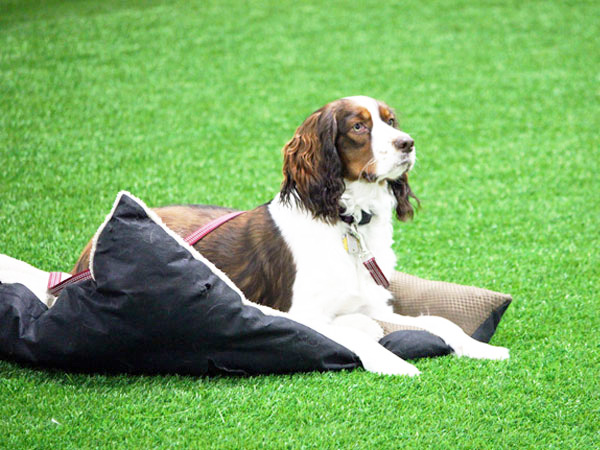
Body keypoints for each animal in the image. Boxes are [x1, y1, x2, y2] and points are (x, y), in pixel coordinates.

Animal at [0, 96, 508, 376]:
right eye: (359, 126)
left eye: (390, 120)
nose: (408, 144)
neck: (346, 220)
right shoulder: (301, 313)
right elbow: (354, 337)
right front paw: (394, 362)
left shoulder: (374, 303)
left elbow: (440, 323)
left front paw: (483, 347)